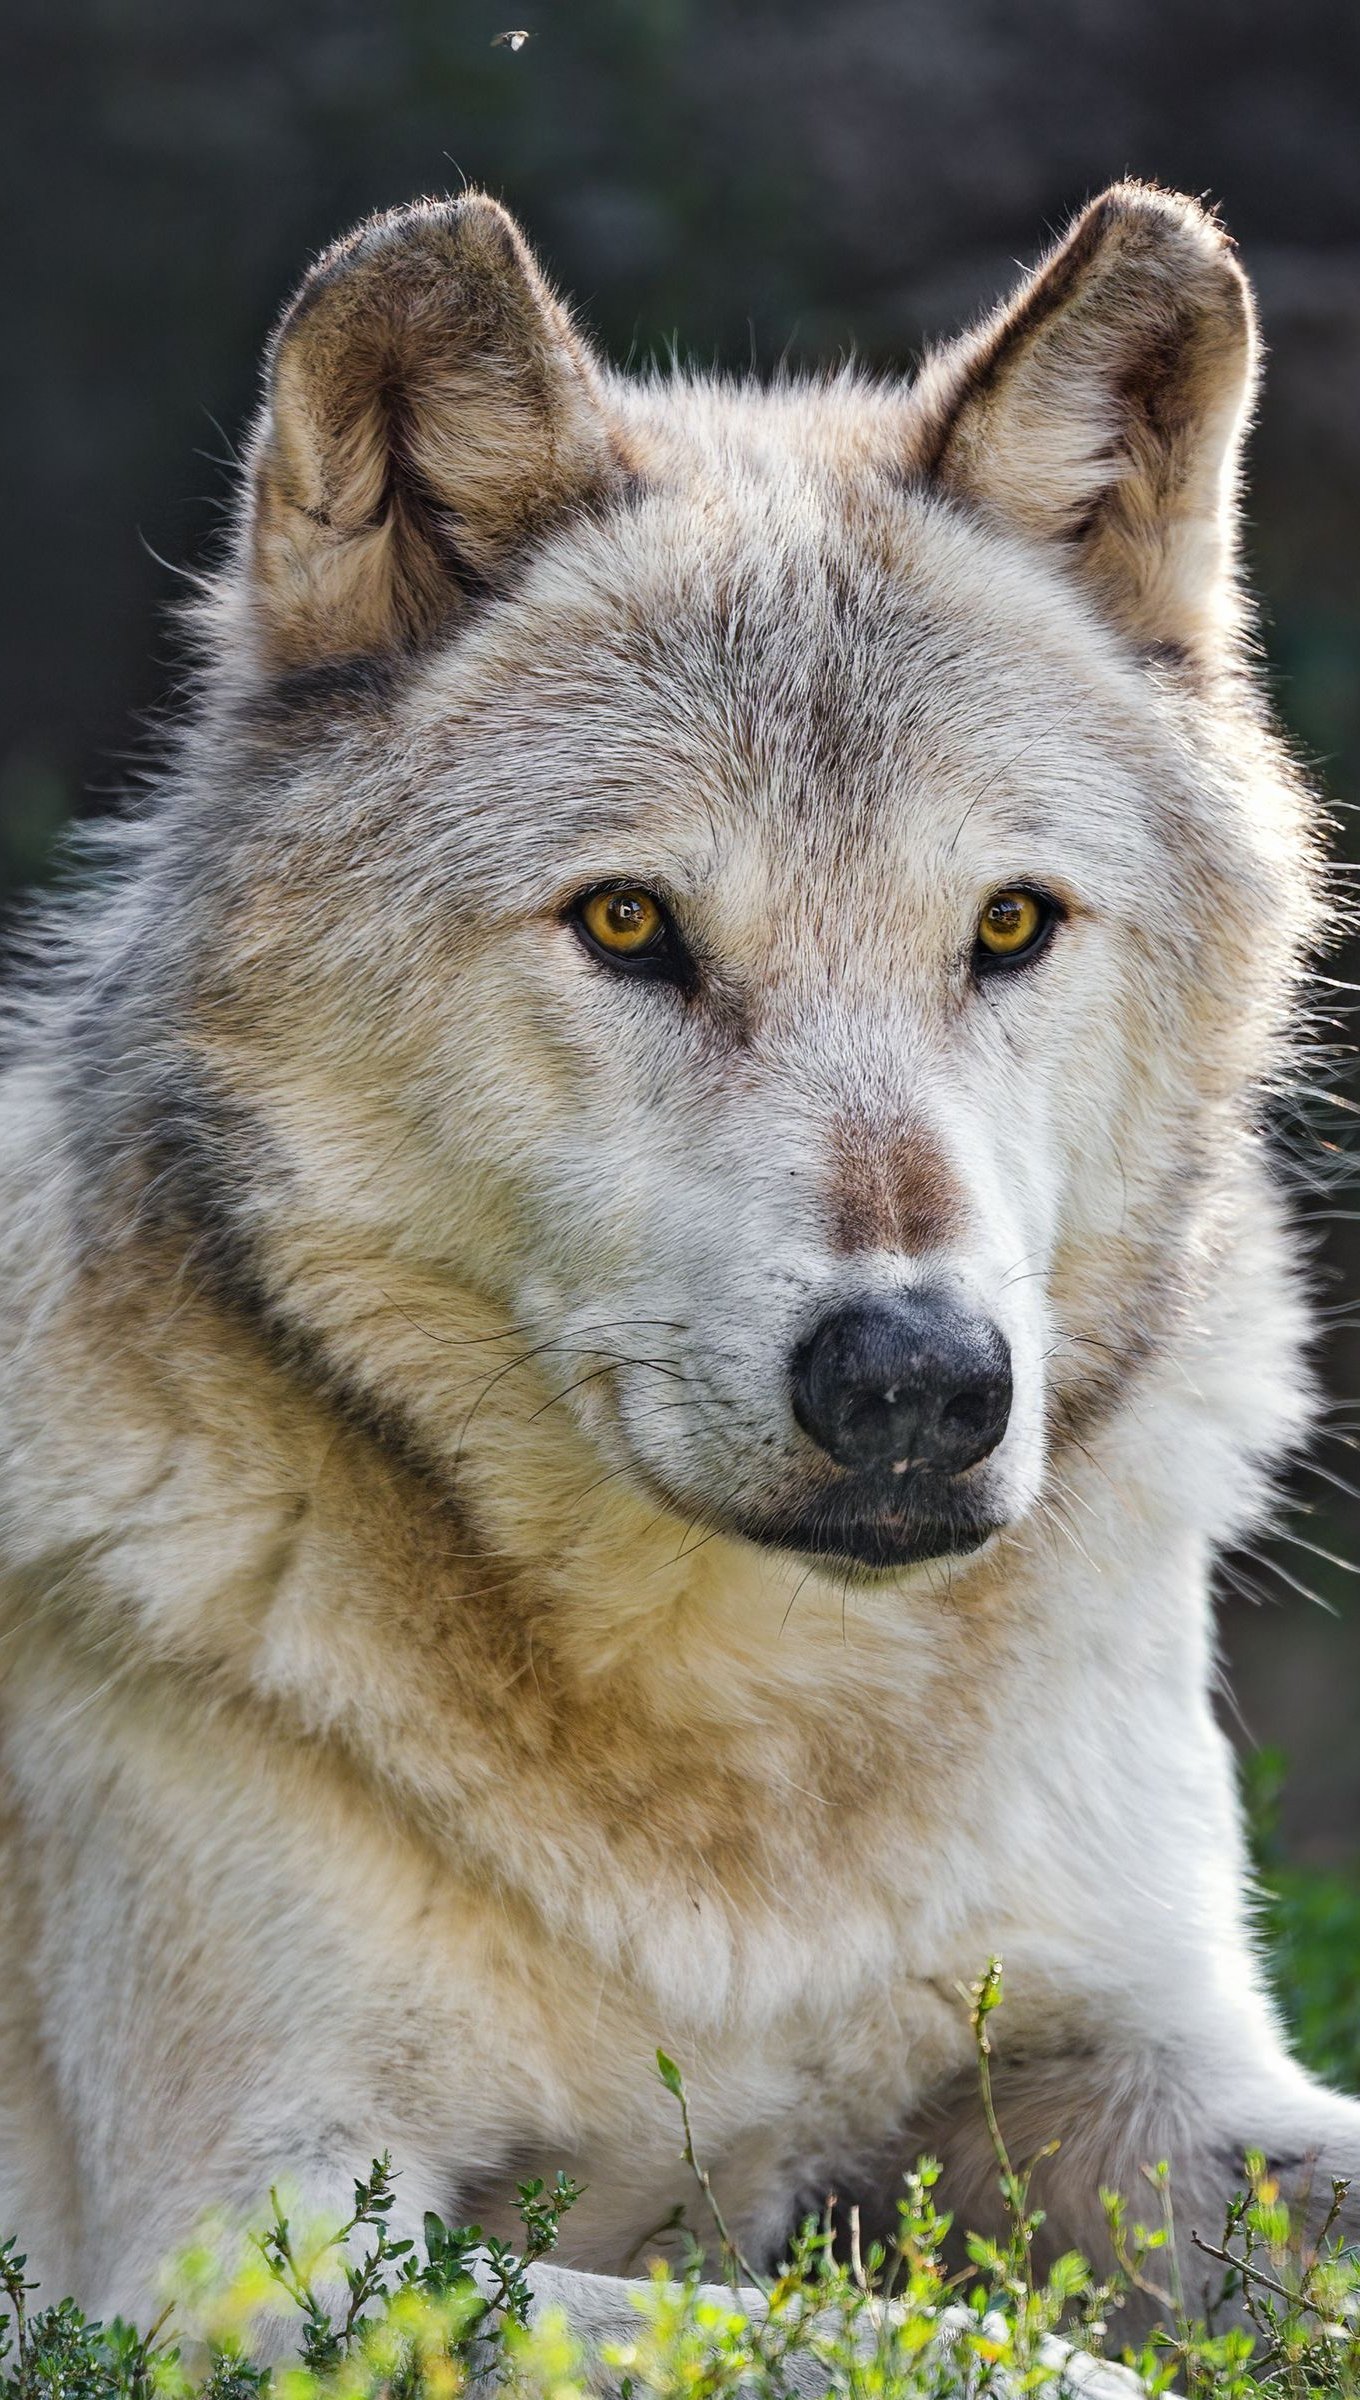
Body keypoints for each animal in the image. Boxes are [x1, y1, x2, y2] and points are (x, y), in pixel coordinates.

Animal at [2, 182, 1360, 2361]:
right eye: (630, 923)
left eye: (1007, 925)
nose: (916, 1382)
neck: (745, 1804)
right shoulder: (239, 2257)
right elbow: (888, 2340)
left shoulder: (1155, 2059)